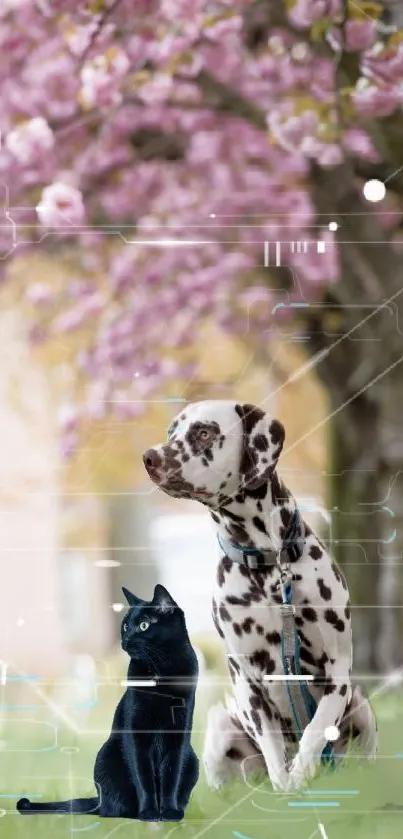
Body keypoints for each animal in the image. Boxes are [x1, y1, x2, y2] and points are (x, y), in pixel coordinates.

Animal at [17, 584, 200, 820]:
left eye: (144, 625)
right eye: (125, 626)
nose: (125, 639)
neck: (160, 669)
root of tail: (98, 800)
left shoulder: (179, 733)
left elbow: (171, 775)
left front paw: (169, 812)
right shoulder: (135, 732)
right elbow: (143, 777)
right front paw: (149, 812)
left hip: (193, 759)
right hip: (106, 754)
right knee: (111, 809)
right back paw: (130, 813)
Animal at [143, 404, 378, 792]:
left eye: (204, 432)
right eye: (171, 431)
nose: (150, 456)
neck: (268, 567)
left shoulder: (337, 671)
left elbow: (316, 728)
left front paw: (300, 773)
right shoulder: (248, 681)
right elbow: (272, 749)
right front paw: (285, 786)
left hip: (361, 707)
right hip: (221, 725)